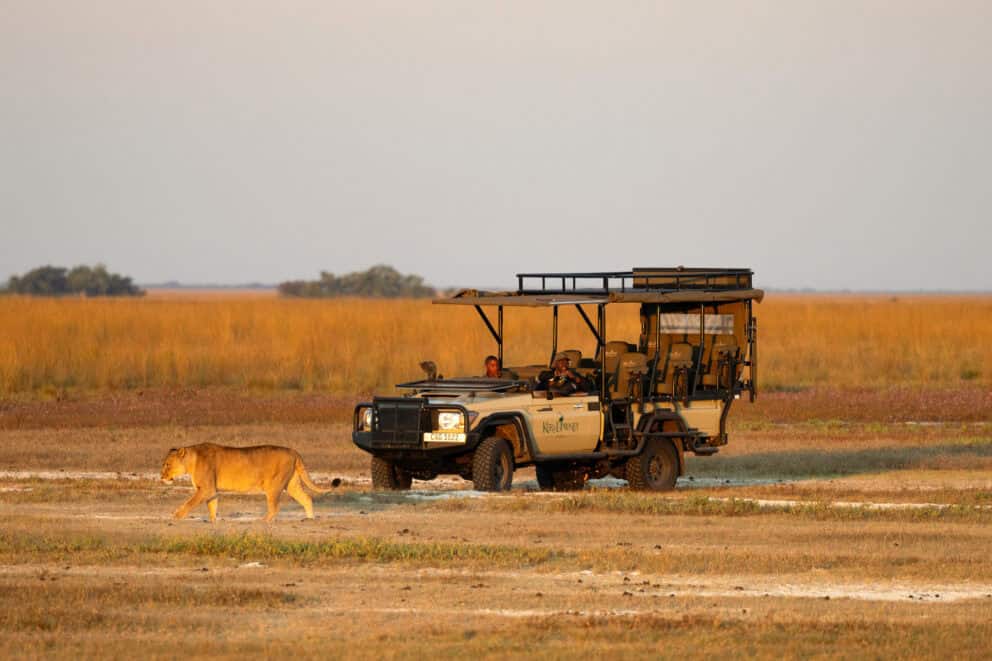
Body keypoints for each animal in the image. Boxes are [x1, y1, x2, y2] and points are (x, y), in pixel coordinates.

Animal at [160, 443, 341, 522]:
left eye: (167, 465)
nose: (161, 477)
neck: (191, 461)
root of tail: (293, 450)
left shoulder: (206, 489)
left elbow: (189, 503)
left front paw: (176, 516)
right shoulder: (211, 490)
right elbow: (212, 507)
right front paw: (213, 521)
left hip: (273, 486)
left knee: (275, 507)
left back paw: (263, 521)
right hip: (292, 484)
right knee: (307, 498)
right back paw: (310, 519)